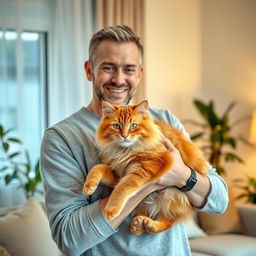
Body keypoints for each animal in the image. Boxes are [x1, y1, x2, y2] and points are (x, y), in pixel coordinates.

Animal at [83, 100, 209, 236]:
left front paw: (111, 210)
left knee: (167, 221)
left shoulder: (148, 165)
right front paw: (89, 187)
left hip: (172, 197)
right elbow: (97, 168)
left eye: (133, 126)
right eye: (116, 126)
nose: (124, 136)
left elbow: (122, 188)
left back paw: (148, 225)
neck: (124, 151)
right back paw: (139, 225)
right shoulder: (118, 174)